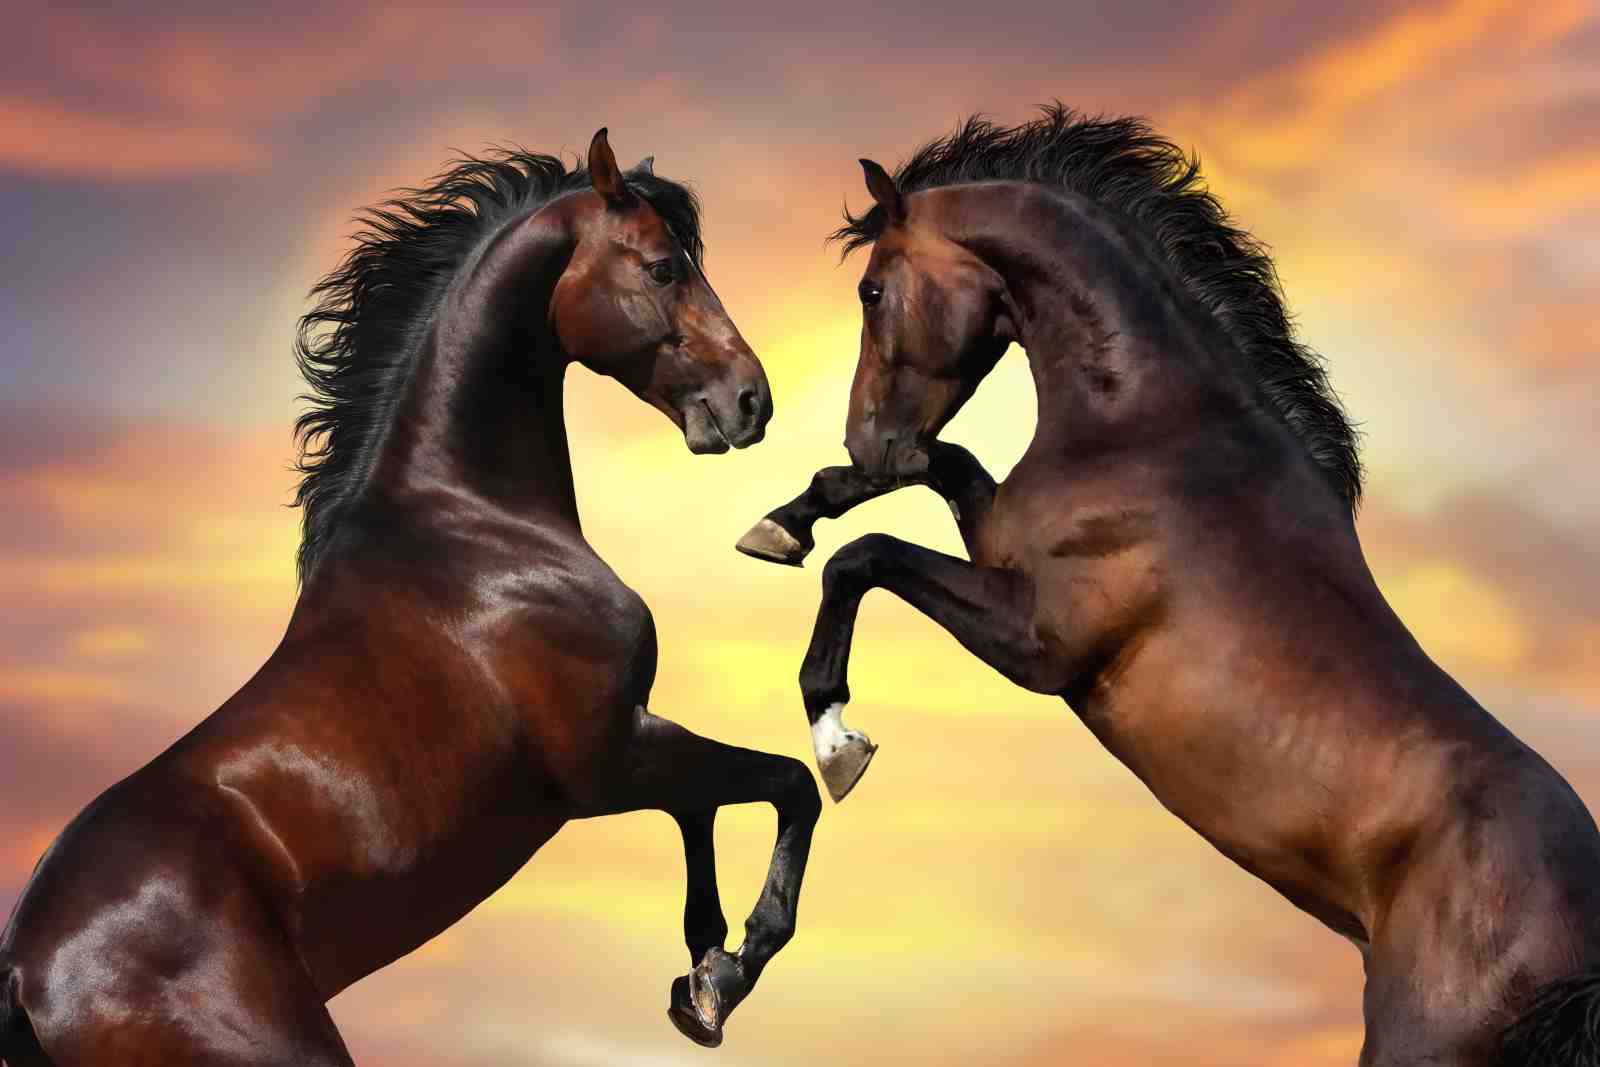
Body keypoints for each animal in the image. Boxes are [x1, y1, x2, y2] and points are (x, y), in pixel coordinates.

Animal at [0, 128, 819, 1066]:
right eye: (662, 267)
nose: (751, 399)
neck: (474, 525)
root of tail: (25, 970)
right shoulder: (610, 756)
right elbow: (788, 782)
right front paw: (734, 966)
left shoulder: (632, 746)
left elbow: (706, 811)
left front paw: (704, 980)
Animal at [737, 106, 1600, 1066]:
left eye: (872, 292)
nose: (866, 439)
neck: (1153, 426)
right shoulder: (996, 542)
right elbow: (938, 466)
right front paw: (786, 519)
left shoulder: (1039, 640)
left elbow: (866, 557)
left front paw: (836, 739)